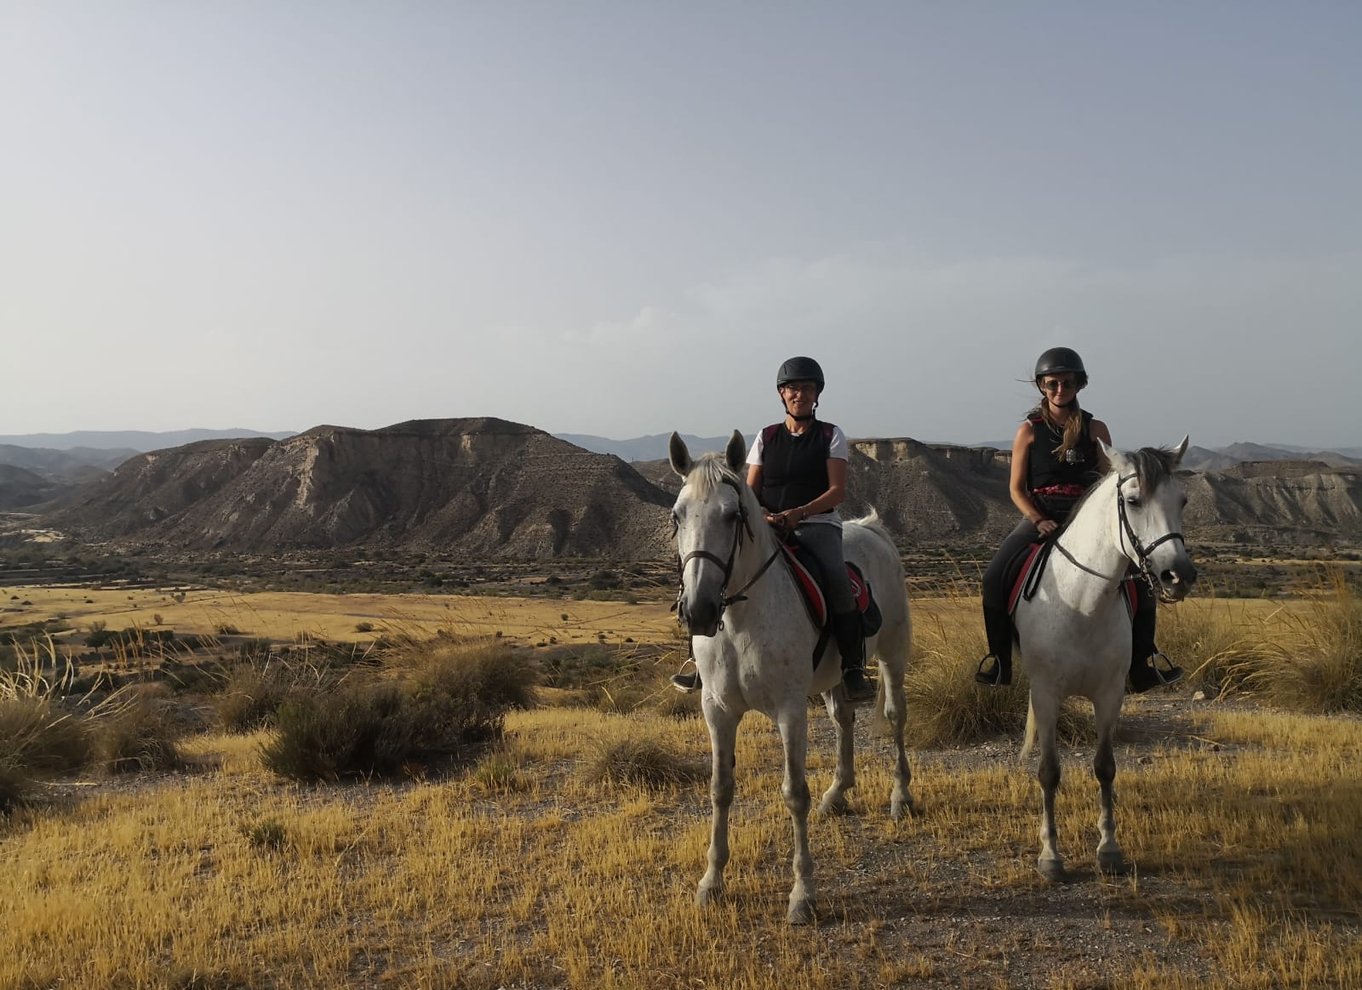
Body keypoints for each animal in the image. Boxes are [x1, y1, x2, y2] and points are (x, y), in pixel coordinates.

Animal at [664, 430, 909, 925]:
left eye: (732, 514)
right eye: (677, 515)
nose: (698, 611)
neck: (741, 618)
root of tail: (872, 528)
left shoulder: (789, 712)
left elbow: (795, 793)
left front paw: (802, 893)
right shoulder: (717, 711)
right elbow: (720, 789)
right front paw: (711, 882)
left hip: (893, 656)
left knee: (895, 717)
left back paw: (900, 797)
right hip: (836, 677)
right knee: (843, 719)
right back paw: (838, 794)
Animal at [1013, 438, 1193, 882]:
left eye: (1182, 500)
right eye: (1132, 500)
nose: (1179, 576)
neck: (1082, 603)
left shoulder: (1110, 695)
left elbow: (1105, 767)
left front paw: (1109, 849)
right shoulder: (1046, 696)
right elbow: (1049, 772)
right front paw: (1050, 856)